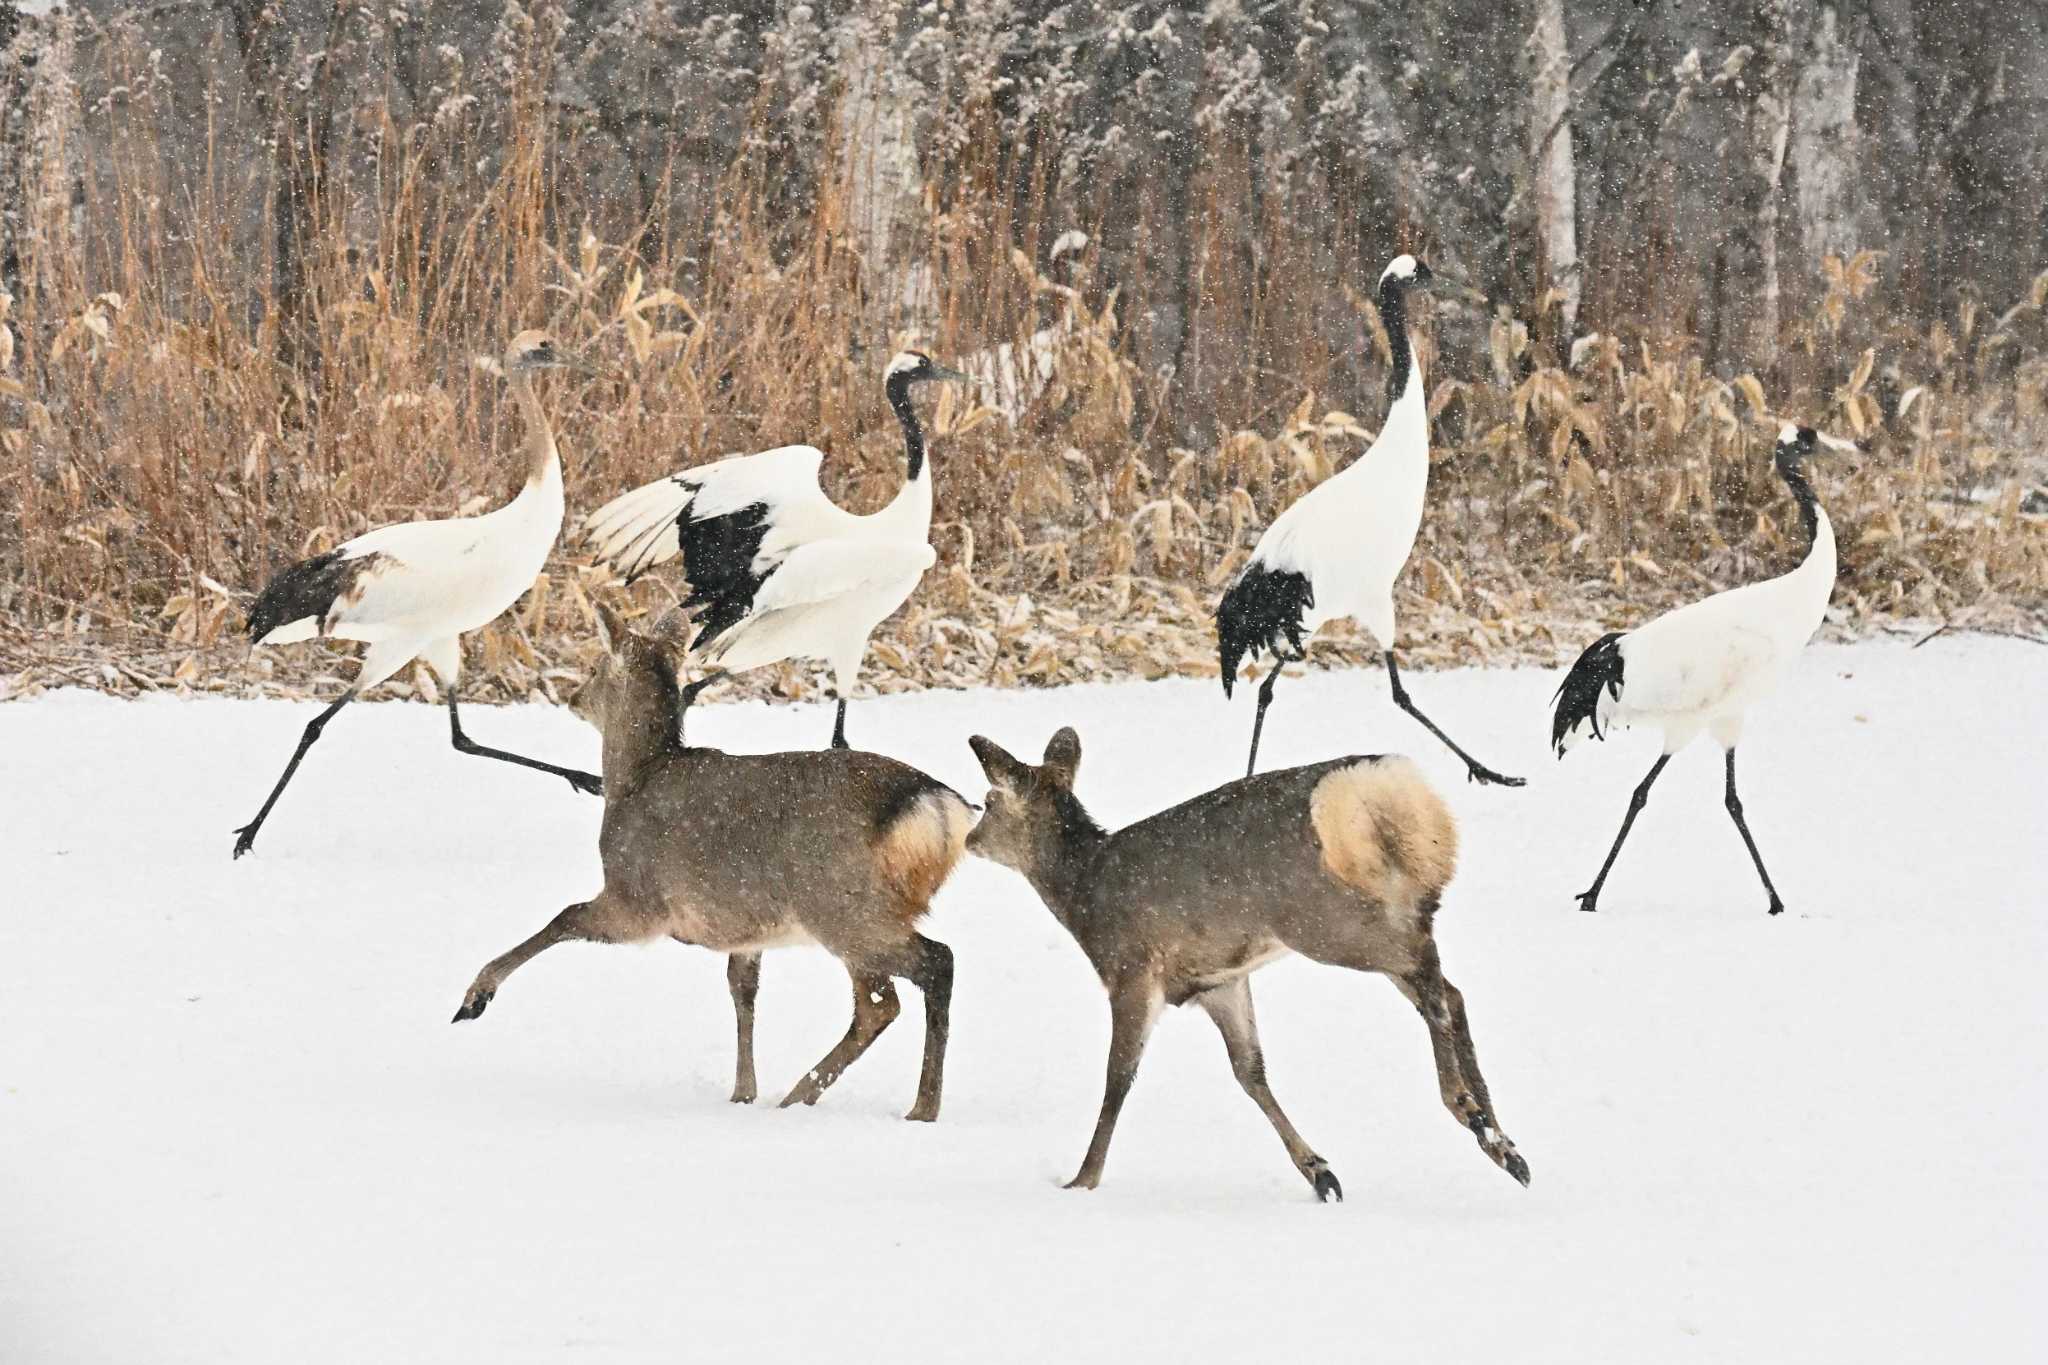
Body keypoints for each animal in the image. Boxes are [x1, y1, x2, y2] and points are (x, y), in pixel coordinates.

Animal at [456, 609, 974, 1121]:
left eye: (595, 666)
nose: (572, 696)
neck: (632, 782)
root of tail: (938, 807)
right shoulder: (744, 928)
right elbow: (742, 992)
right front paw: (743, 1092)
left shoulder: (638, 899)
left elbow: (564, 917)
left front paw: (475, 996)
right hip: (853, 912)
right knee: (885, 1000)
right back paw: (809, 1096)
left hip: (843, 905)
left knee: (921, 974)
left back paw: (912, 1106)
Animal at [966, 732, 1531, 1203]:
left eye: (989, 801)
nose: (970, 838)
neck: (1083, 895)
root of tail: (1381, 796)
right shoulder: (1220, 979)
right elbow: (1249, 1070)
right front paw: (1320, 1173)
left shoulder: (1132, 969)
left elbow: (1117, 1077)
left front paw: (1082, 1180)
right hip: (1376, 909)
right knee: (1448, 988)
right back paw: (1503, 1143)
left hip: (1327, 923)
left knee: (1431, 976)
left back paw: (1468, 1109)